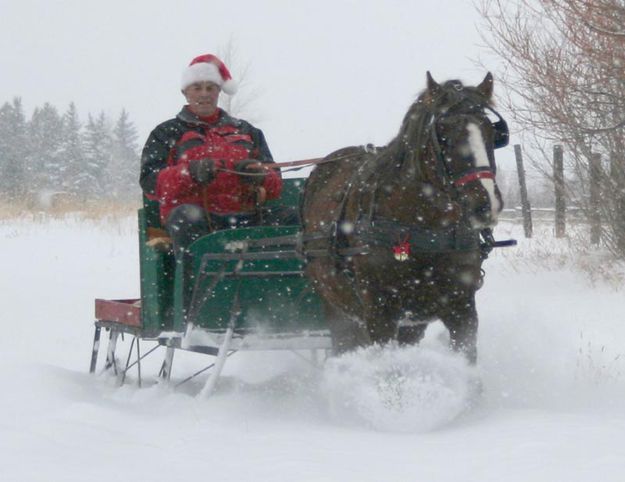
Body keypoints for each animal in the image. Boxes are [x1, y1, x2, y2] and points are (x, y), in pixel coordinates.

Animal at [300, 71, 504, 364]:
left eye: (491, 131)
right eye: (443, 134)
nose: (486, 204)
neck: (425, 227)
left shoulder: (461, 309)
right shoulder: (380, 314)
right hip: (337, 308)